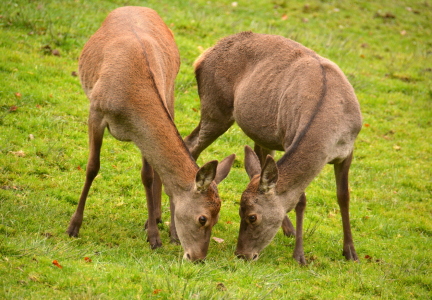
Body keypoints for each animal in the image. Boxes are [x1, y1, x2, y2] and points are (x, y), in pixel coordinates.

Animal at [66, 5, 235, 262]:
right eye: (203, 218)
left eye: (216, 219)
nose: (197, 257)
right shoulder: (95, 112)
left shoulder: (142, 131)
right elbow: (92, 167)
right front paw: (73, 226)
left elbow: (147, 175)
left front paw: (155, 237)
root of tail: (135, 6)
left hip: (172, 93)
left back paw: (166, 229)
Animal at [184, 31, 362, 264]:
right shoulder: (289, 137)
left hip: (259, 130)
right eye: (240, 213)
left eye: (252, 217)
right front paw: (299, 256)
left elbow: (343, 196)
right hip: (216, 107)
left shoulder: (347, 151)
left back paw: (289, 230)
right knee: (191, 145)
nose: (241, 254)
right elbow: (300, 199)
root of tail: (202, 57)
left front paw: (350, 251)